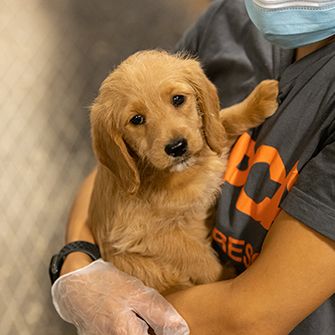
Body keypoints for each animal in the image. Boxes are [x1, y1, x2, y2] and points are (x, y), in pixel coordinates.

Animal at [87, 50, 278, 294]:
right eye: (136, 119)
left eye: (178, 99)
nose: (177, 147)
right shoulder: (142, 235)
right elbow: (197, 256)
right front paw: (224, 275)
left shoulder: (205, 137)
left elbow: (222, 121)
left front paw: (257, 101)